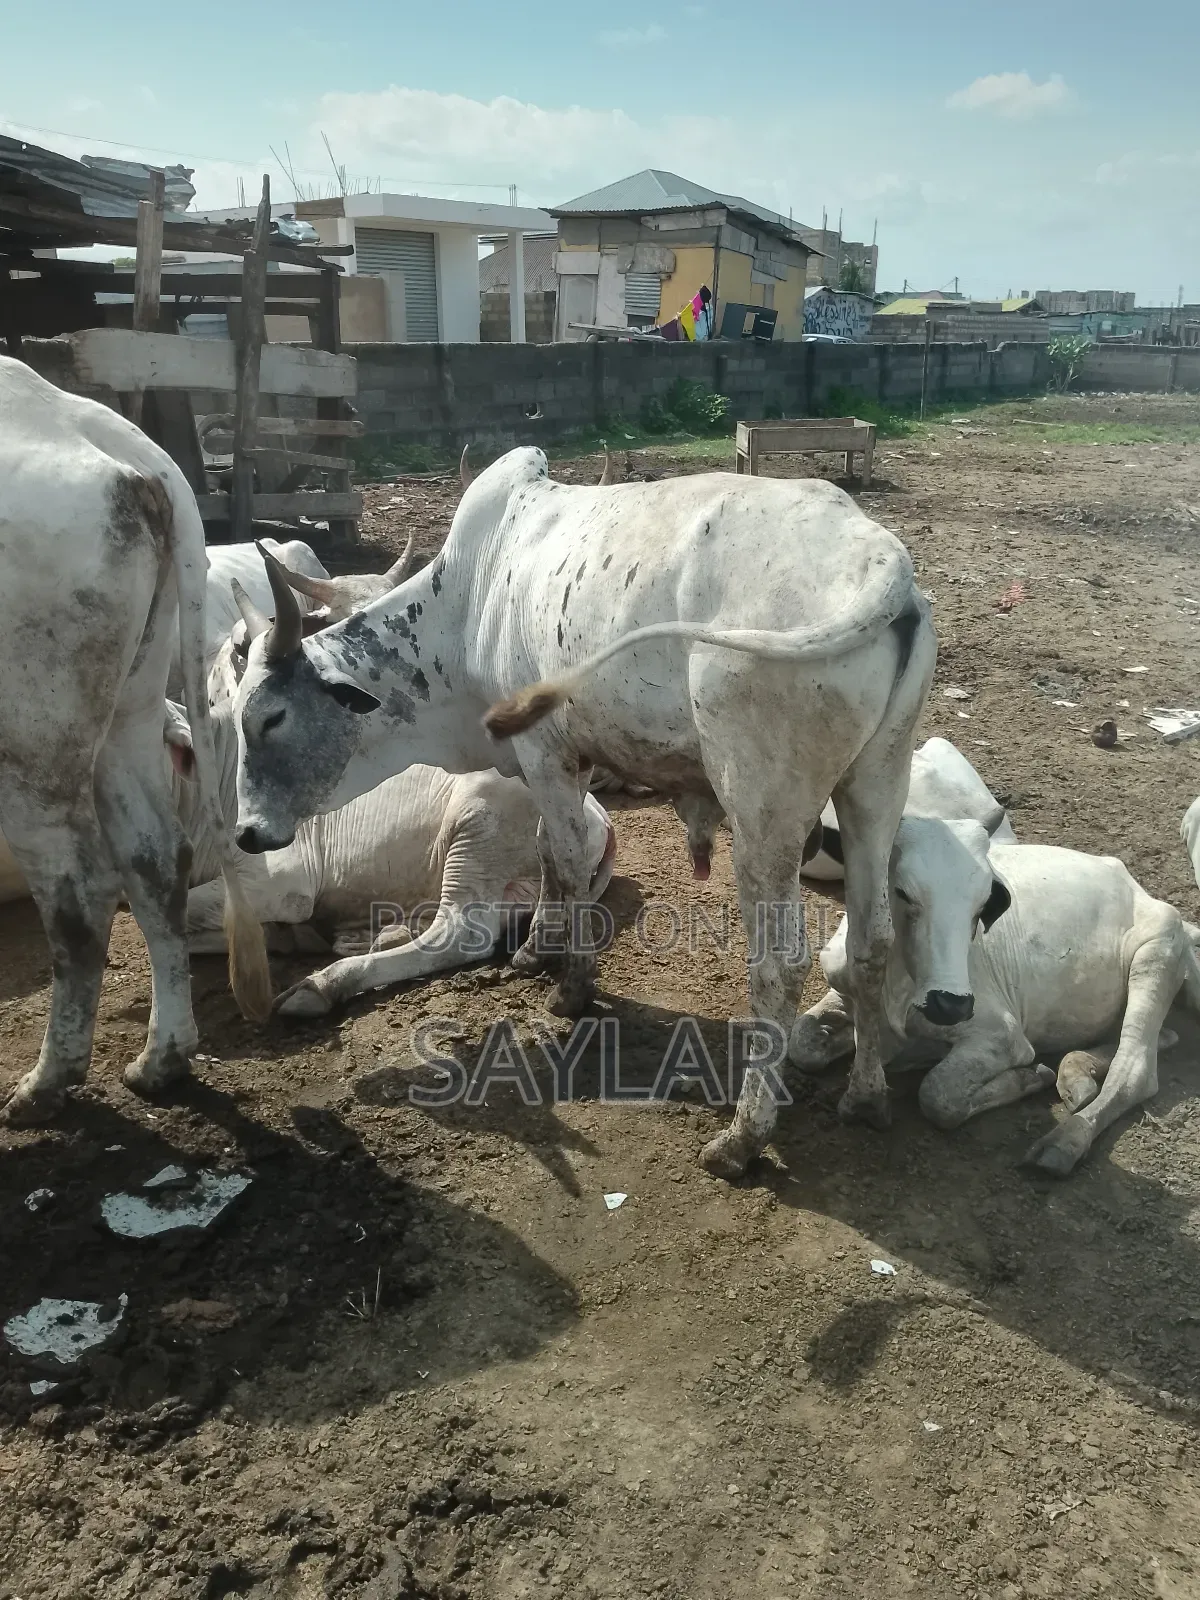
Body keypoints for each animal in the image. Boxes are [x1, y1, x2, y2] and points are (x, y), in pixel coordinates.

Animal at [0, 355, 269, 1124]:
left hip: (32, 735)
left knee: (80, 892)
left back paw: (48, 1081)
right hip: (129, 707)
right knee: (154, 861)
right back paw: (161, 1060)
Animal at [225, 446, 936, 1180]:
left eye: (270, 716)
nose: (247, 832)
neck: (469, 601)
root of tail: (881, 559)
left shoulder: (543, 751)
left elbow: (565, 860)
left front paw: (572, 987)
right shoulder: (572, 755)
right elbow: (546, 850)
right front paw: (536, 949)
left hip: (764, 810)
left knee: (780, 964)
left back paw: (742, 1136)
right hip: (876, 785)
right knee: (873, 940)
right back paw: (867, 1097)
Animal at [792, 818, 1200, 1176]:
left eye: (983, 905)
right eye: (903, 892)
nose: (951, 1004)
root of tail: (1134, 885)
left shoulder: (1001, 1036)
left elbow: (938, 1095)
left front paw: (1028, 1078)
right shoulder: (845, 992)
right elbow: (803, 1045)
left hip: (1155, 953)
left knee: (1135, 1070)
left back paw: (1063, 1142)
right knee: (1161, 1038)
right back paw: (1076, 1073)